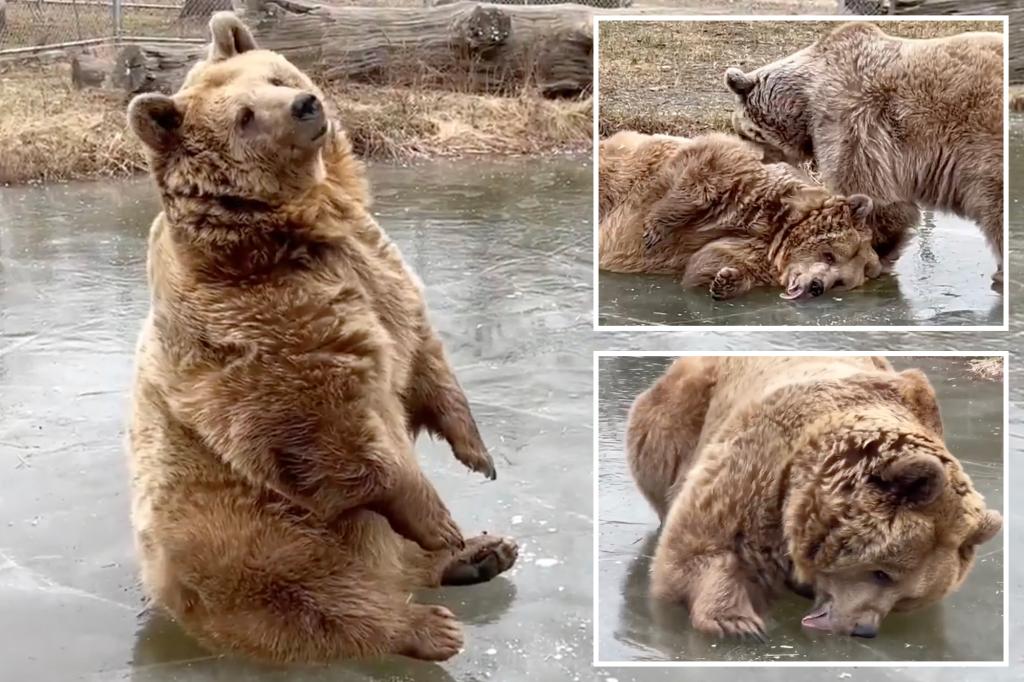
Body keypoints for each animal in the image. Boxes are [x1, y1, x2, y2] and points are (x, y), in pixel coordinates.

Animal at [123, 11, 516, 663]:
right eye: (244, 116)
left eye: (277, 78)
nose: (307, 106)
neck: (301, 229)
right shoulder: (255, 320)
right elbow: (328, 426)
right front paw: (438, 517)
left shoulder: (378, 271)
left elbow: (422, 358)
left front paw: (479, 454)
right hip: (243, 531)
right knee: (317, 597)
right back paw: (427, 623)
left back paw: (481, 554)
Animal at [598, 129, 917, 296]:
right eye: (830, 255)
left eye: (839, 282)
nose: (816, 286)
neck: (775, 228)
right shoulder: (749, 187)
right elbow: (707, 169)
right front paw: (654, 228)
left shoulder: (749, 249)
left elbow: (705, 265)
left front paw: (726, 280)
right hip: (619, 166)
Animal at [626, 356, 1003, 638]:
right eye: (882, 573)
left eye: (908, 598)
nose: (864, 629)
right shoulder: (764, 463)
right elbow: (697, 546)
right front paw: (737, 621)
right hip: (677, 417)